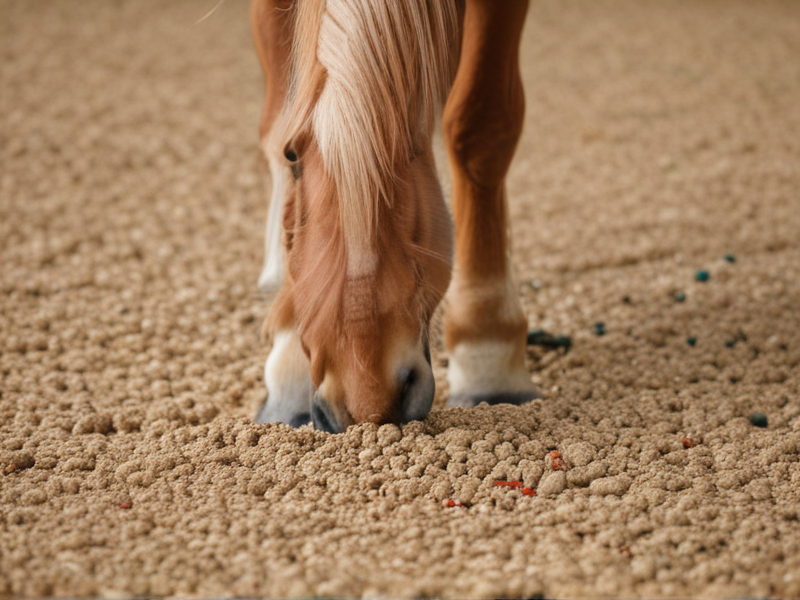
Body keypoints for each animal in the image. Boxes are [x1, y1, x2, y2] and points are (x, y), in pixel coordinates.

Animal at [250, 0, 536, 432]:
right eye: (292, 156)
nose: (367, 406)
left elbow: (481, 129)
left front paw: (489, 354)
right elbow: (278, 122)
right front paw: (289, 366)